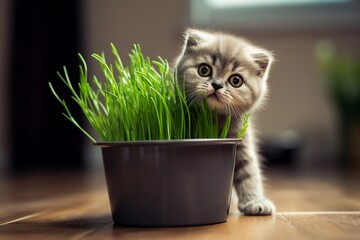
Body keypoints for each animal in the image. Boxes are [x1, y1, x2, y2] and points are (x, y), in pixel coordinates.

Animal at [175, 28, 276, 216]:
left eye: (236, 80)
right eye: (204, 70)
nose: (216, 85)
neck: (215, 118)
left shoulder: (241, 141)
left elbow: (249, 172)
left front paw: (255, 201)